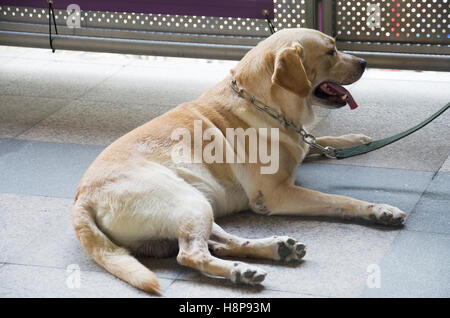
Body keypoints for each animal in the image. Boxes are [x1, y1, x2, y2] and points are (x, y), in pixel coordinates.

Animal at [72, 28, 406, 294]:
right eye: (331, 51)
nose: (364, 63)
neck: (266, 103)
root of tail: (81, 200)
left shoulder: (299, 142)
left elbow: (319, 140)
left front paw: (355, 139)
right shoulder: (276, 194)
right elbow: (340, 200)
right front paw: (379, 209)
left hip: (198, 204)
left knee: (220, 241)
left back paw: (274, 250)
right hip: (187, 200)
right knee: (191, 254)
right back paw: (239, 272)